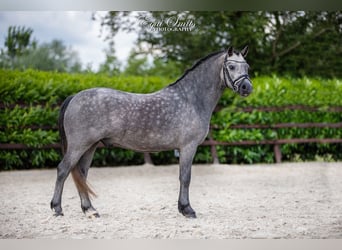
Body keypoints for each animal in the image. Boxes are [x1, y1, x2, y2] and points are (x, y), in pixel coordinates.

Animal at [51, 46, 254, 218]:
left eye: (247, 67)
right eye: (231, 66)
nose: (247, 88)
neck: (191, 99)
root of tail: (74, 97)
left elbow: (183, 177)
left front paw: (183, 208)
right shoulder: (188, 147)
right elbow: (185, 177)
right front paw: (187, 209)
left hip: (90, 146)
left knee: (81, 174)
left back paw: (90, 210)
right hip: (79, 146)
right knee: (63, 170)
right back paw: (57, 209)